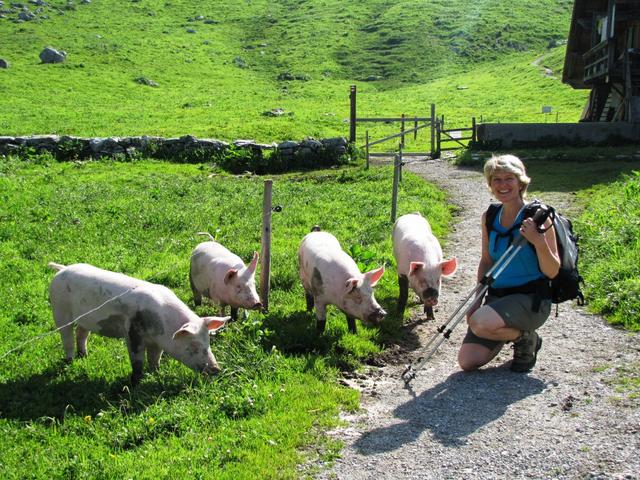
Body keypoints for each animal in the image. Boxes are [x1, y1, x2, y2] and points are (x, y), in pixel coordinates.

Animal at [49, 260, 230, 384]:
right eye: (193, 345)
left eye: (208, 342)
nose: (216, 369)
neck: (164, 326)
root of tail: (62, 269)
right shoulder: (132, 333)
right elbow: (137, 361)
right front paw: (135, 383)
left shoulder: (157, 342)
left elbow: (155, 359)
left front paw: (157, 374)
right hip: (60, 311)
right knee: (67, 338)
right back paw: (71, 361)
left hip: (84, 319)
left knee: (81, 333)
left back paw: (84, 356)